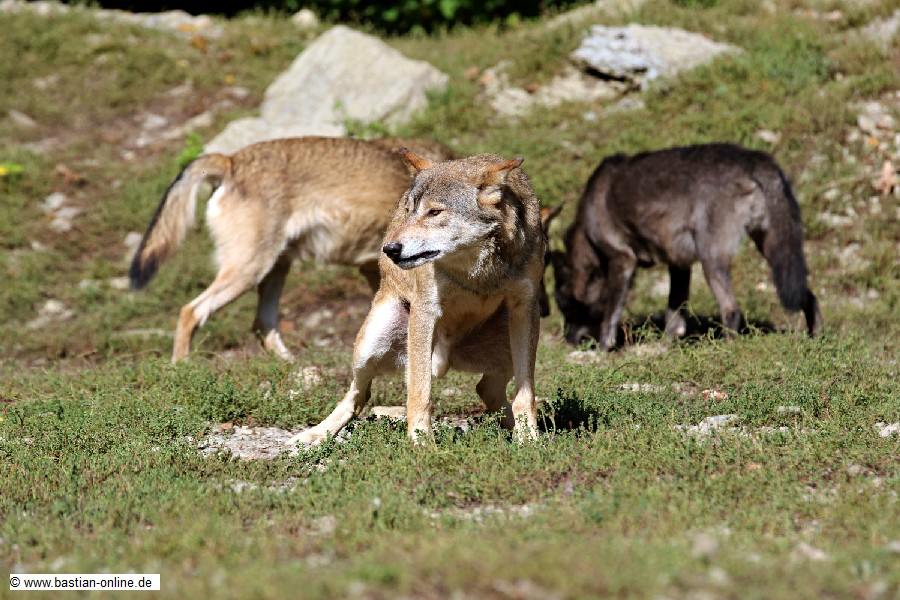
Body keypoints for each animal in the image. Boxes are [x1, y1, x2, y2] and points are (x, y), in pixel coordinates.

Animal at [128, 136, 453, 363]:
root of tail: (231, 160)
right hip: (249, 270)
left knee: (262, 324)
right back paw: (182, 368)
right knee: (190, 312)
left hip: (275, 268)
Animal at [289, 150, 546, 446]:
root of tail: (446, 359)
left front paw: (530, 441)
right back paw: (313, 436)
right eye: (408, 211)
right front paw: (422, 444)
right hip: (370, 346)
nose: (389, 248)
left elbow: (525, 395)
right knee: (357, 396)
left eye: (434, 211)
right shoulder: (425, 311)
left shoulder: (524, 308)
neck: (477, 272)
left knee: (486, 389)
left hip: (510, 346)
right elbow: (420, 394)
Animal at [550, 143, 823, 348]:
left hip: (711, 260)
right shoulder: (679, 265)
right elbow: (674, 316)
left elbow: (610, 317)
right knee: (808, 295)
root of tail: (754, 159)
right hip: (773, 250)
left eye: (564, 305)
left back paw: (727, 348)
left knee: (732, 309)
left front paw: (603, 350)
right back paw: (816, 338)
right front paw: (667, 346)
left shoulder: (622, 260)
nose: (568, 341)